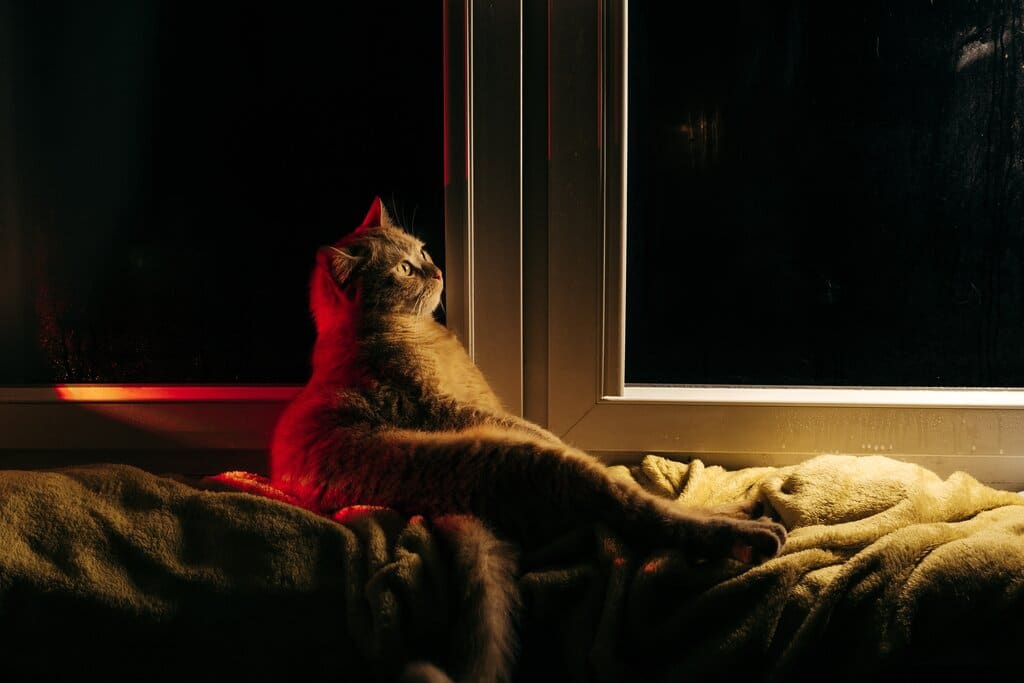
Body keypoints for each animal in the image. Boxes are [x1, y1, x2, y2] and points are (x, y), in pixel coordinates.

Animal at [270, 194, 782, 679]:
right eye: (404, 268)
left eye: (423, 251)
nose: (436, 270)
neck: (405, 331)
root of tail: (444, 512)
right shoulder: (453, 410)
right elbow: (549, 435)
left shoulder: (486, 405)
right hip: (538, 461)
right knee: (645, 509)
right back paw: (751, 531)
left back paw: (738, 507)